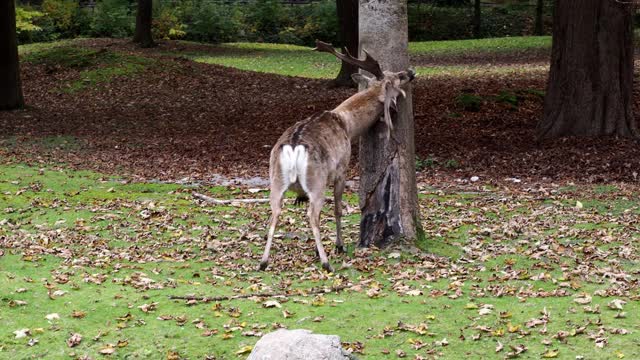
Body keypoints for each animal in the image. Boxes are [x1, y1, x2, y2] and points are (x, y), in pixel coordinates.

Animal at [258, 40, 418, 272]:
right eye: (397, 78)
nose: (410, 71)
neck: (347, 125)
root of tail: (294, 147)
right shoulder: (342, 169)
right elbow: (338, 209)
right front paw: (339, 246)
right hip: (316, 180)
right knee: (313, 215)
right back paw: (326, 262)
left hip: (276, 179)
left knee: (275, 212)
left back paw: (263, 262)